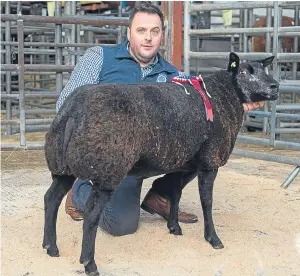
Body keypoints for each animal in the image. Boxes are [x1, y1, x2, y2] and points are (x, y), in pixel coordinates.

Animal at [42, 52, 278, 276]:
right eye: (245, 72)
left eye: (264, 69)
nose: (275, 86)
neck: (221, 96)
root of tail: (72, 111)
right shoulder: (210, 160)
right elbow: (207, 202)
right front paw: (213, 238)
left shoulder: (183, 163)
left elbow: (175, 194)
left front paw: (174, 227)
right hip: (107, 168)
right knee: (91, 215)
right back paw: (89, 263)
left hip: (62, 164)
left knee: (51, 198)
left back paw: (50, 247)